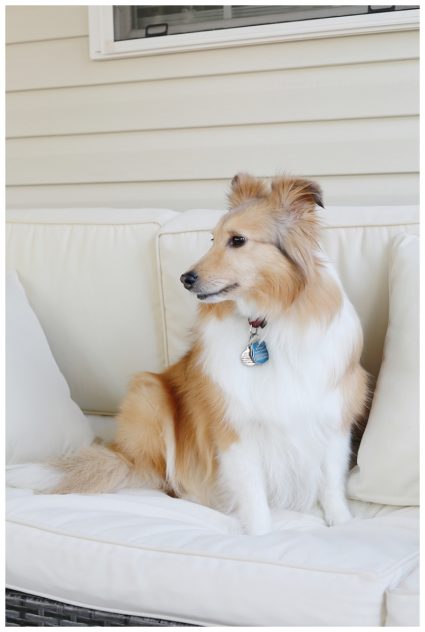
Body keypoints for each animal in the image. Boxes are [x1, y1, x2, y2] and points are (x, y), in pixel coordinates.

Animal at [28, 174, 369, 535]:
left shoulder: (332, 416)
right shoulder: (235, 424)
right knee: (159, 475)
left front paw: (342, 523)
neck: (266, 322)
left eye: (237, 240)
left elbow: (331, 480)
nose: (184, 278)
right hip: (148, 393)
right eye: (212, 238)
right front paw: (260, 535)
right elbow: (253, 491)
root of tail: (122, 454)